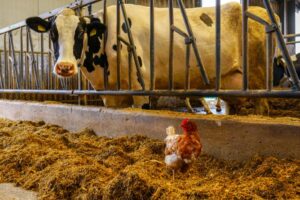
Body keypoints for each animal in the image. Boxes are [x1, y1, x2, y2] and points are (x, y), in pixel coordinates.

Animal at [25, 2, 278, 114]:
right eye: (53, 33)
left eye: (80, 32)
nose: (64, 67)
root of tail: (264, 10)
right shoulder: (110, 94)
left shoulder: (141, 85)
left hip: (258, 77)